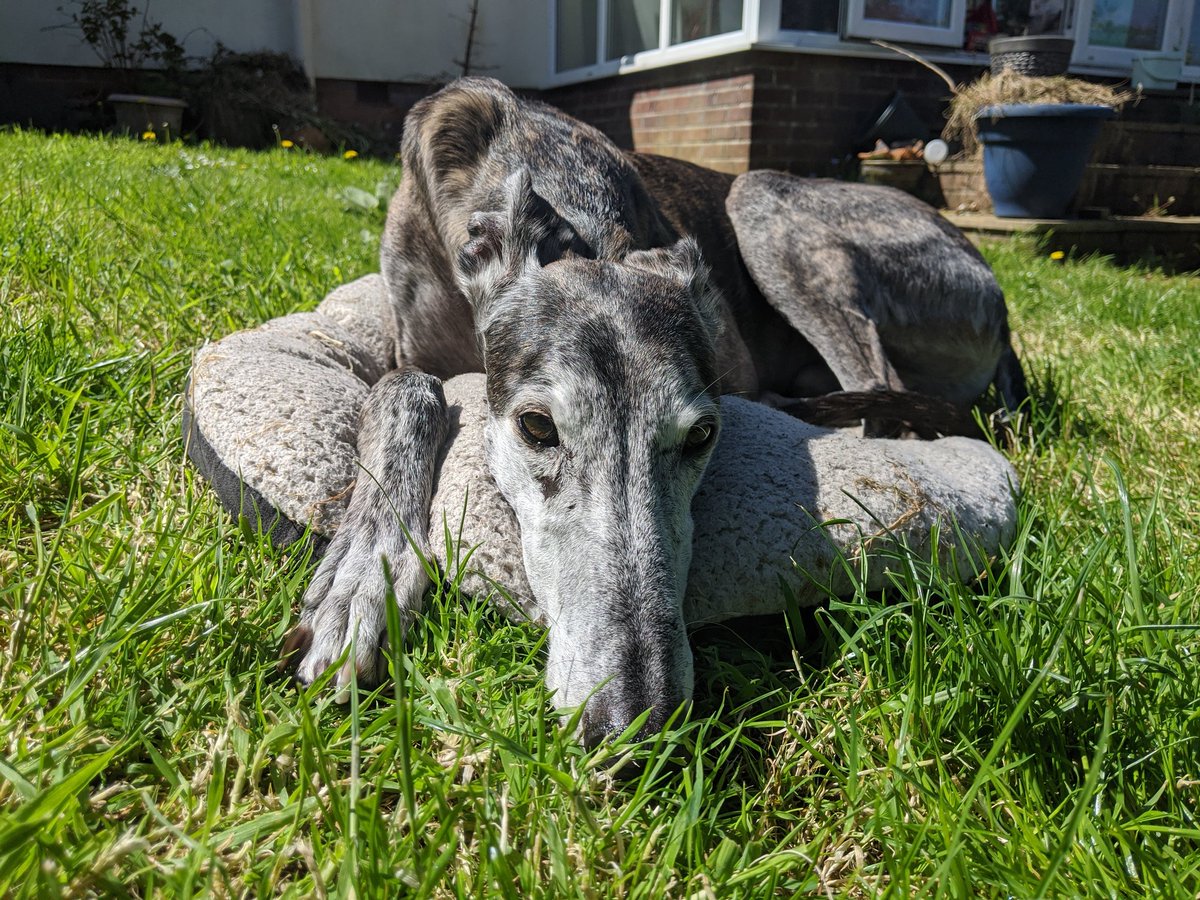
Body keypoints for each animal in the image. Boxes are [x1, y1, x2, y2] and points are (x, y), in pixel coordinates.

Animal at [182, 274, 1017, 734]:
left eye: (702, 435)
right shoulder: (425, 363)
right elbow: (403, 388)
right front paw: (362, 582)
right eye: (536, 427)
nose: (633, 723)